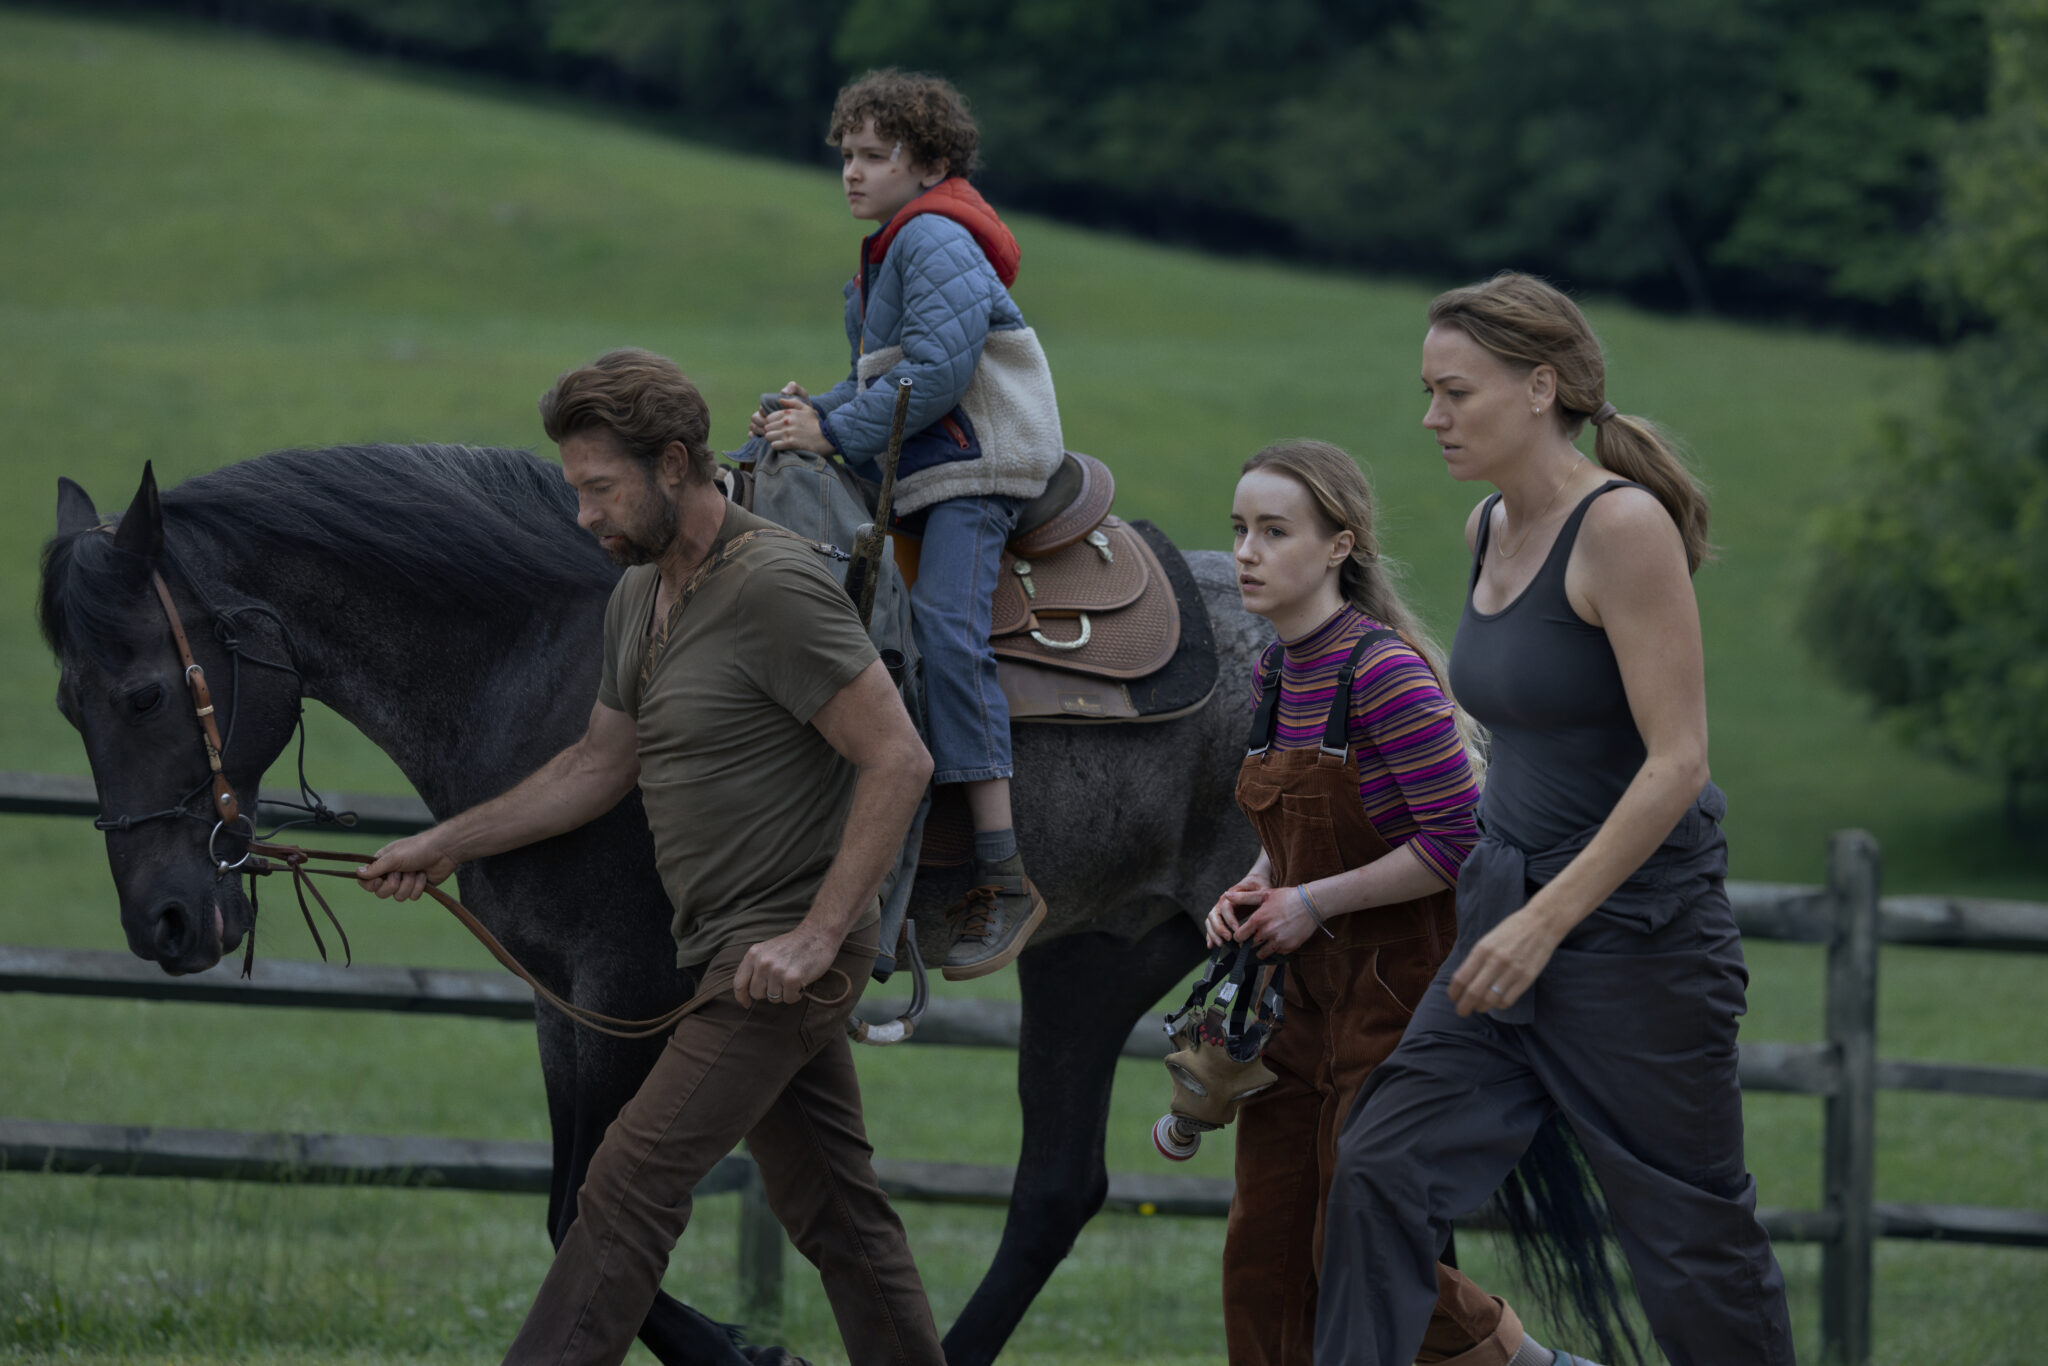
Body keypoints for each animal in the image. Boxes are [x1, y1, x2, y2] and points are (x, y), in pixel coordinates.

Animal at [39, 446, 1261, 1366]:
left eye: (142, 692)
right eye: (67, 704)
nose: (164, 924)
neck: (545, 659)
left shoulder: (631, 983)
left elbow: (590, 1201)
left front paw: (749, 1350)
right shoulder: (565, 998)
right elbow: (572, 1205)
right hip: (1088, 964)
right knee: (1056, 1189)